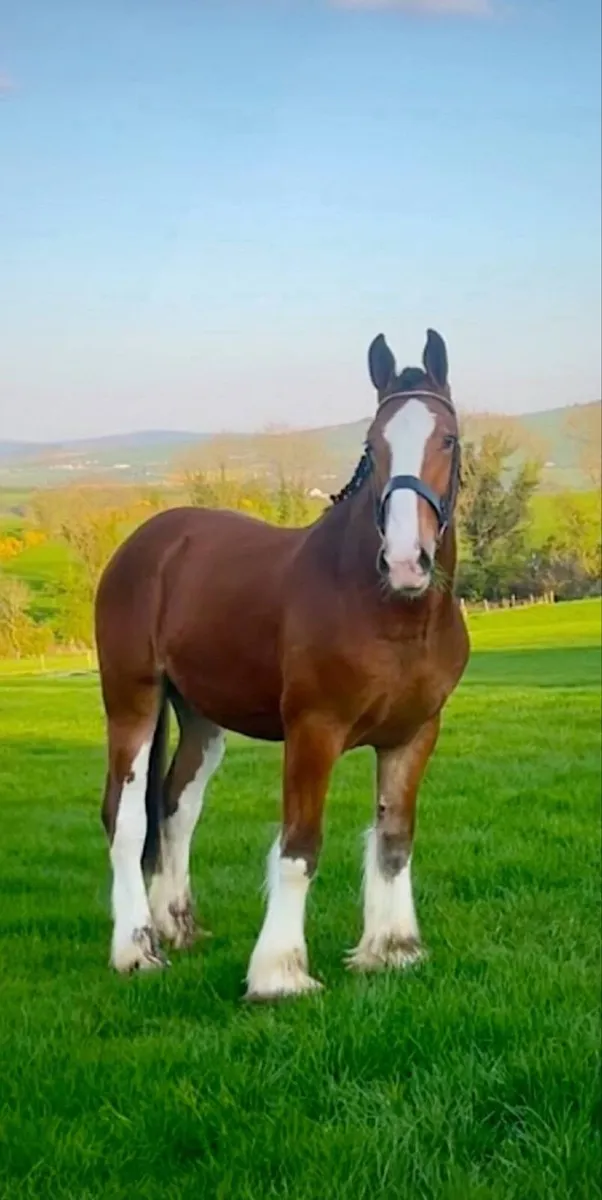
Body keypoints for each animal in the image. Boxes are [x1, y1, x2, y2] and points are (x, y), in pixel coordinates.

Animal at [94, 328, 469, 1000]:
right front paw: (280, 973)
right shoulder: (313, 731)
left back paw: (176, 926)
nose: (407, 561)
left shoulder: (414, 734)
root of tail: (147, 543)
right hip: (132, 699)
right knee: (129, 816)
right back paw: (135, 949)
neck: (387, 609)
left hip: (201, 715)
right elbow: (300, 846)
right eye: (372, 445)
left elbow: (395, 839)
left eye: (446, 439)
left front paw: (392, 950)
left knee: (176, 806)